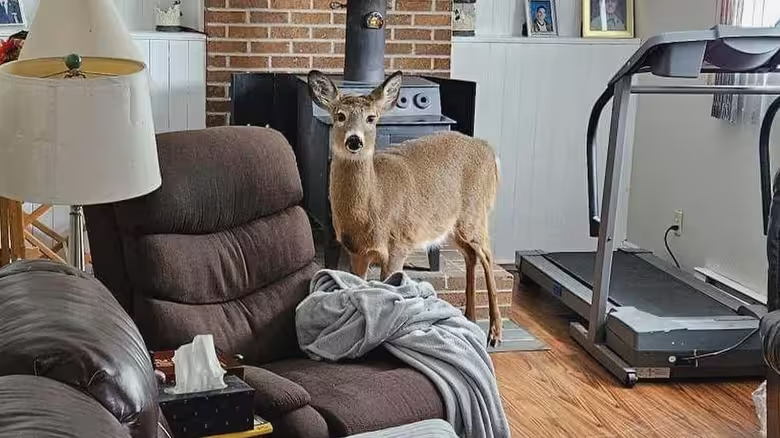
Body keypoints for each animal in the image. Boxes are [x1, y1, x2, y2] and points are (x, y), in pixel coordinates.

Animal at [307, 70, 503, 347]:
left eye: (371, 118)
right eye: (339, 115)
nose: (354, 141)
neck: (373, 204)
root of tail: (489, 150)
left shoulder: (399, 244)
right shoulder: (356, 251)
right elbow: (359, 286)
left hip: (475, 213)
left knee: (487, 255)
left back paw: (494, 334)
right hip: (451, 226)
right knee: (470, 256)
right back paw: (471, 319)